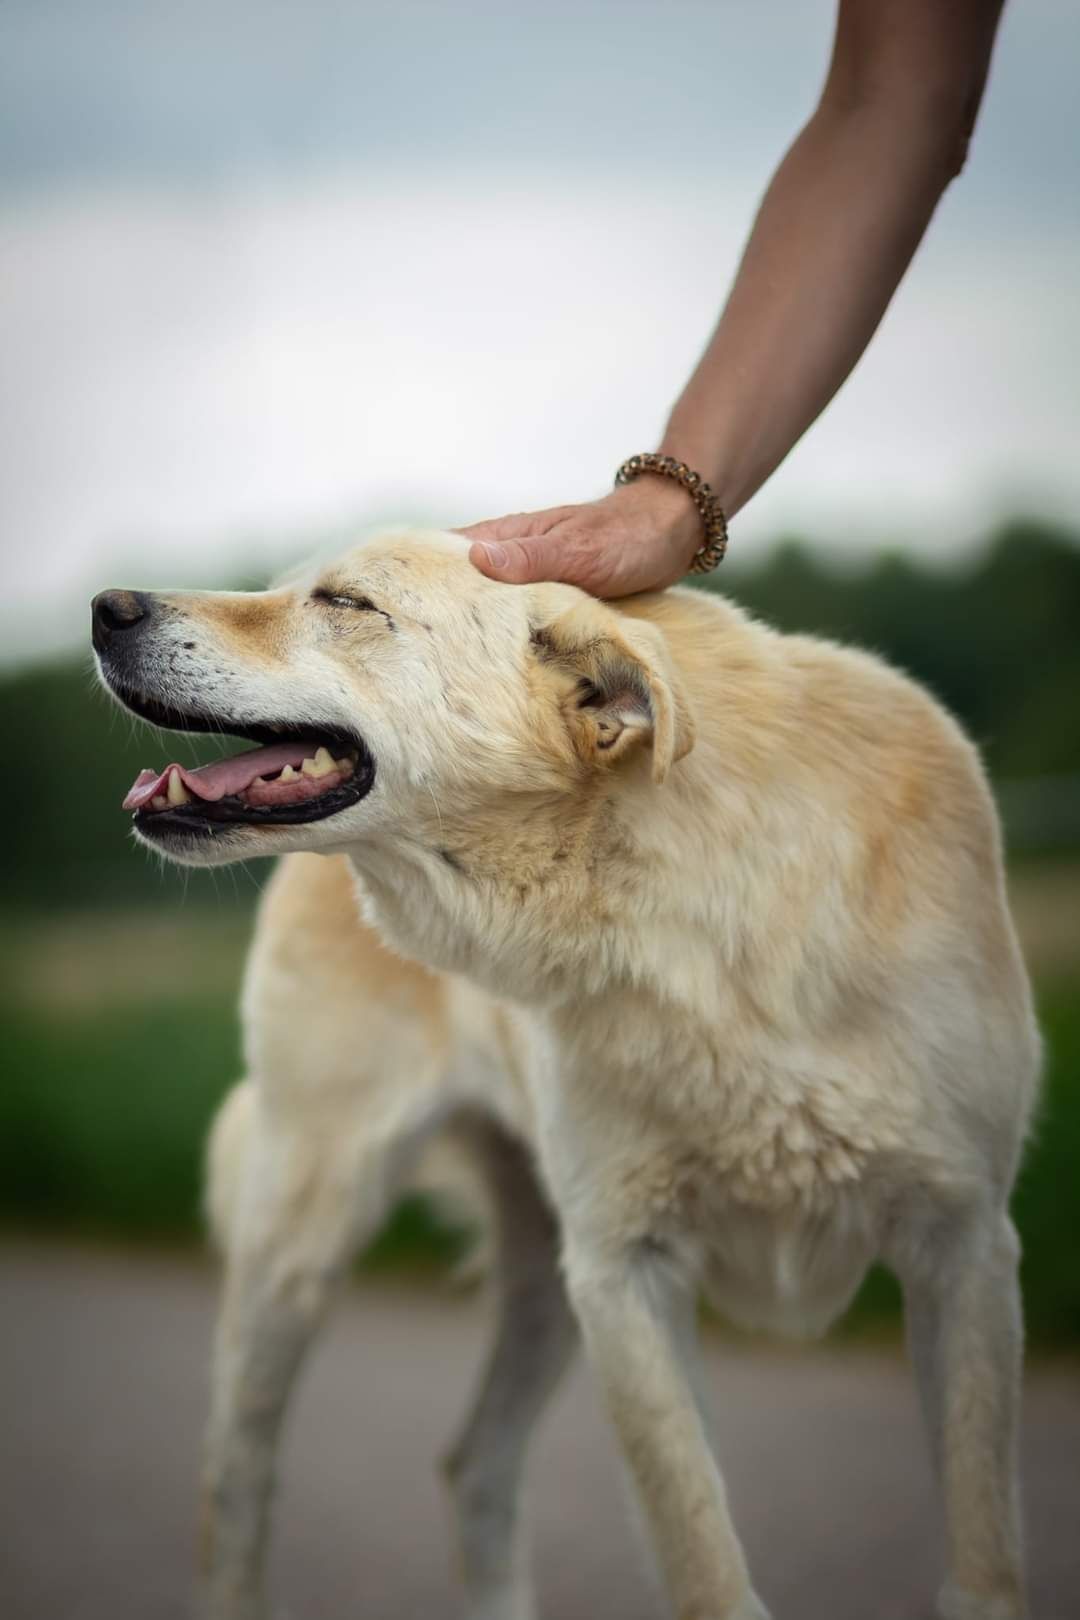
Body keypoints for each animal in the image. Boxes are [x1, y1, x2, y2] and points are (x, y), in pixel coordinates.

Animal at [93, 524, 1036, 1613]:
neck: (700, 928)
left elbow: (982, 1561)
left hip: (539, 1278)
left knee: (476, 1465)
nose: (106, 608)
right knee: (237, 1483)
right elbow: (706, 1564)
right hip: (307, 1237)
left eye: (346, 602)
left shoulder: (964, 1244)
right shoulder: (624, 1271)